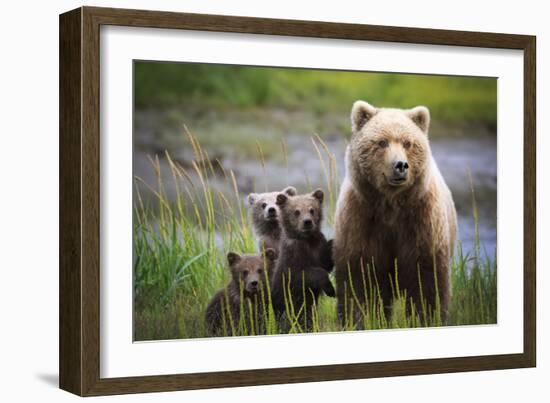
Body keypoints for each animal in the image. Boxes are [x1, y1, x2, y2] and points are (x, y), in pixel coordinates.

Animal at [334, 101, 460, 328]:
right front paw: (361, 319)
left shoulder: (421, 223)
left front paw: (426, 318)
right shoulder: (361, 219)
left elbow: (427, 283)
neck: (391, 205)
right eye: (382, 142)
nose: (400, 165)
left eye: (407, 143)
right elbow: (361, 281)